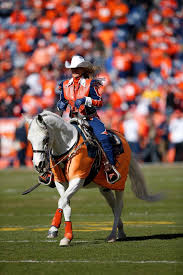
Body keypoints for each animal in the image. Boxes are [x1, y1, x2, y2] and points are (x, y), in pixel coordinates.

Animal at [26, 111, 162, 247]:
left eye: (45, 138)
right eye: (30, 140)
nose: (38, 165)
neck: (67, 147)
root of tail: (124, 139)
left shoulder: (77, 179)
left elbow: (62, 201)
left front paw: (55, 229)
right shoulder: (61, 182)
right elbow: (66, 205)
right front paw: (65, 236)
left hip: (119, 184)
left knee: (118, 207)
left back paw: (112, 235)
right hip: (104, 188)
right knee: (113, 205)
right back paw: (121, 232)